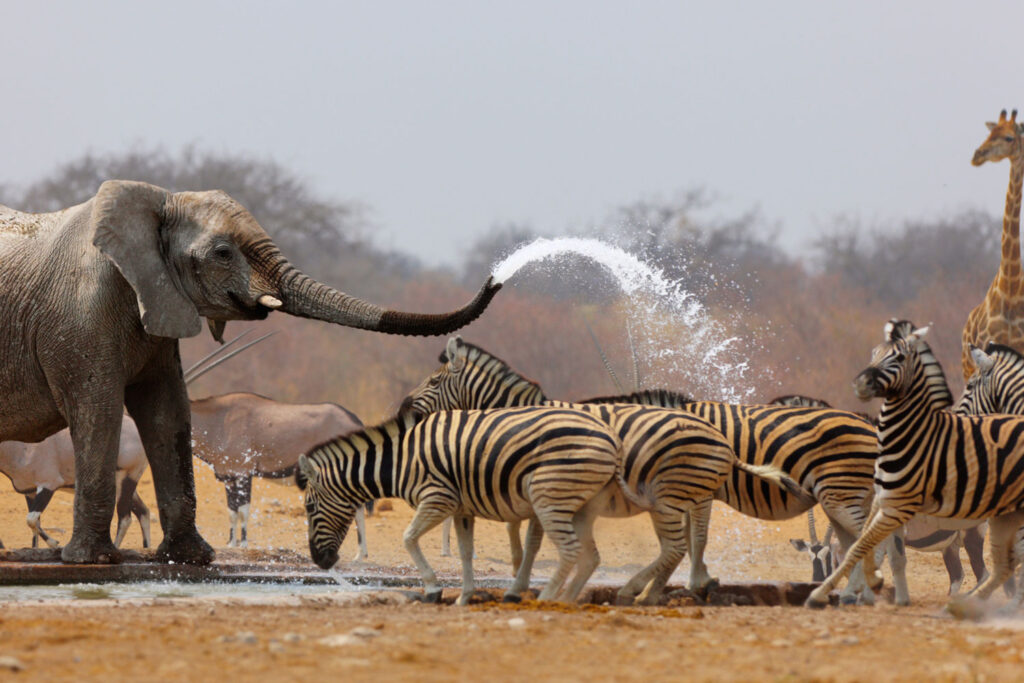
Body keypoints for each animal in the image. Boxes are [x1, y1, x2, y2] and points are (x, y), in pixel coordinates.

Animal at [0, 180, 501, 565]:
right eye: (223, 253)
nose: (496, 278)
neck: (157, 202)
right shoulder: (82, 320)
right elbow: (105, 412)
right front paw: (93, 560)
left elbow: (166, 413)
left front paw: (191, 557)